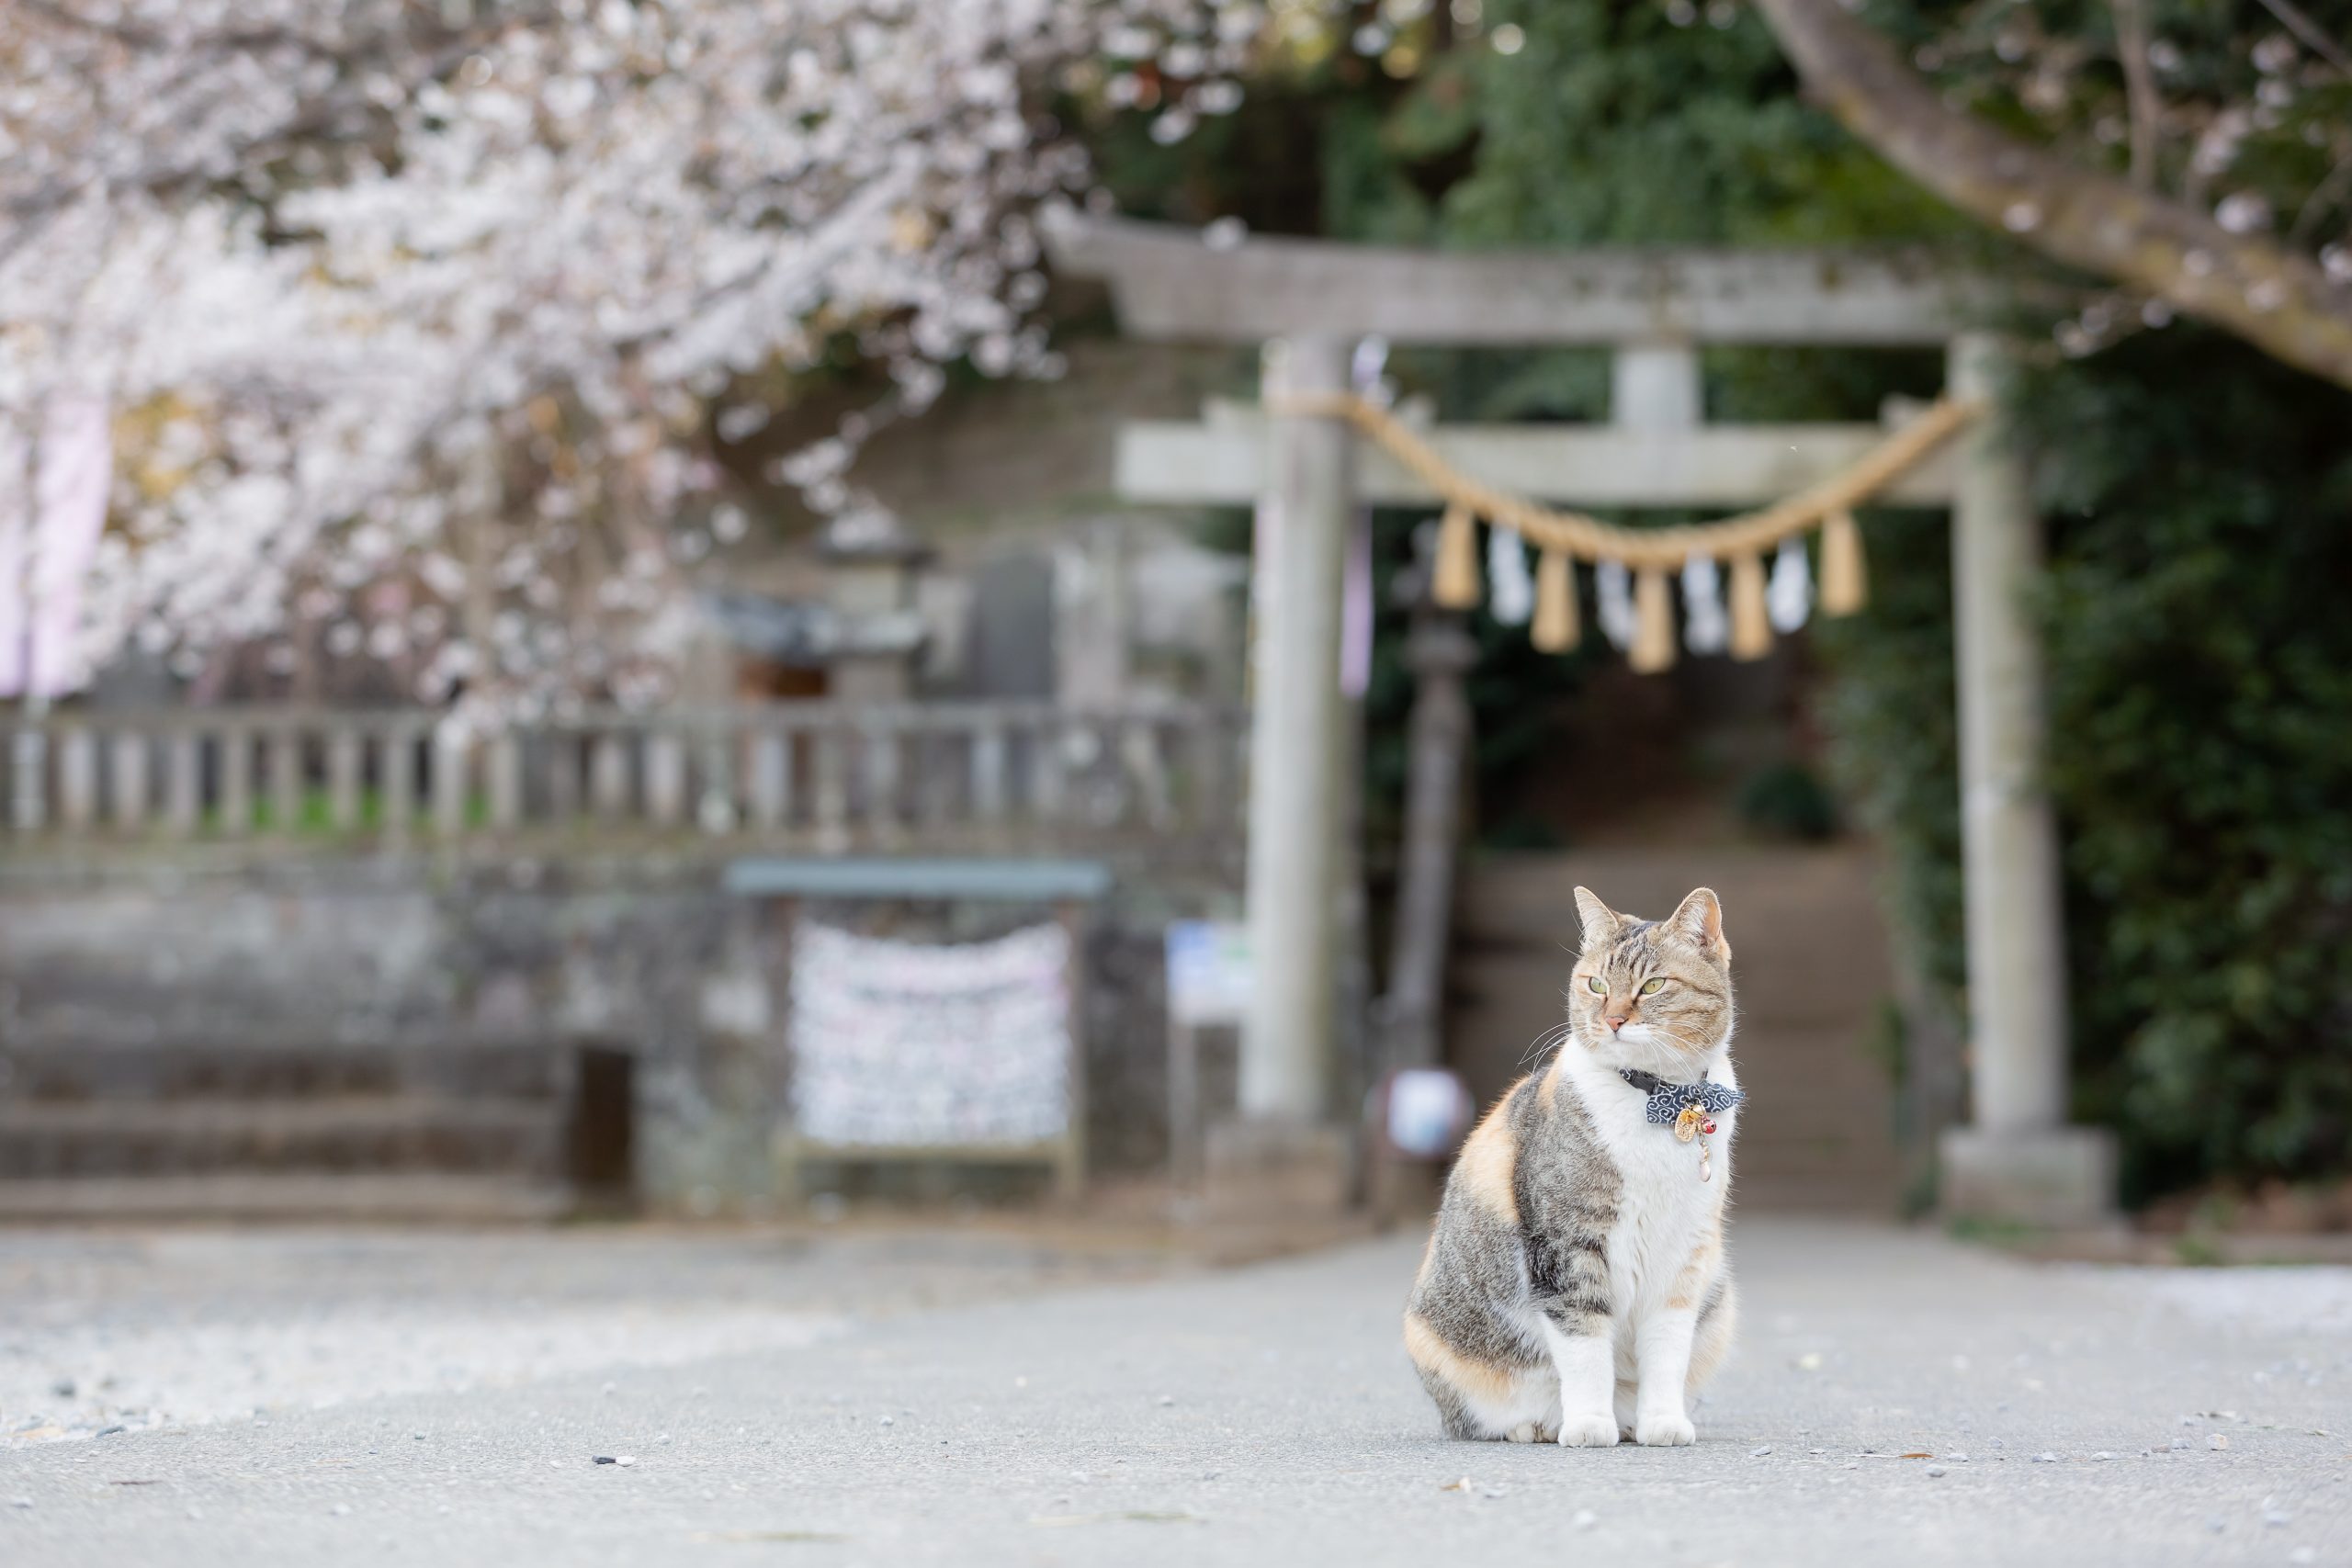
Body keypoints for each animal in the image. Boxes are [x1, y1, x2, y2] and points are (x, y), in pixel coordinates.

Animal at [1401, 888, 1740, 1457]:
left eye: (1653, 986)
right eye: (1596, 984)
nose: (1614, 1020)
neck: (1664, 1102)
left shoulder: (1684, 1257)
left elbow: (1668, 1350)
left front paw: (1662, 1423)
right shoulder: (1565, 1248)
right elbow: (1583, 1346)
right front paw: (1586, 1425)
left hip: (1719, 1300)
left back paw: (1628, 1422)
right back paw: (1540, 1425)